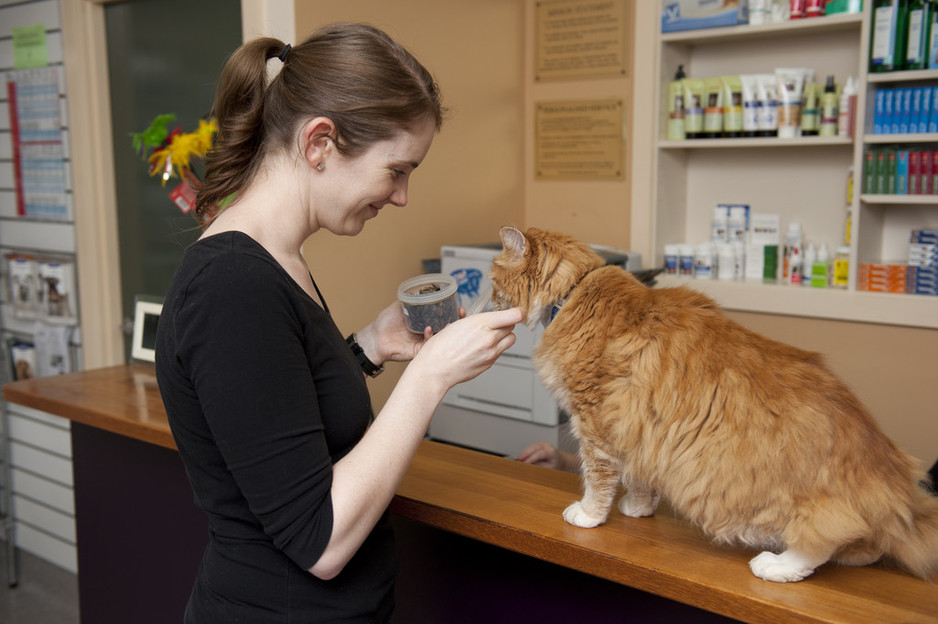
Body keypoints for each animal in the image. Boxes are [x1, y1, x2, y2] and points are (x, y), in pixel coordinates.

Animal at [490, 227, 936, 584]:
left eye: (493, 282)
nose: (489, 302)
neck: (577, 291)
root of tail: (894, 479)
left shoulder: (596, 424)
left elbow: (598, 483)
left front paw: (588, 515)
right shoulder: (643, 429)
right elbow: (641, 481)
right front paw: (639, 509)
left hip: (777, 500)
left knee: (822, 541)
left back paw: (776, 567)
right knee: (866, 548)